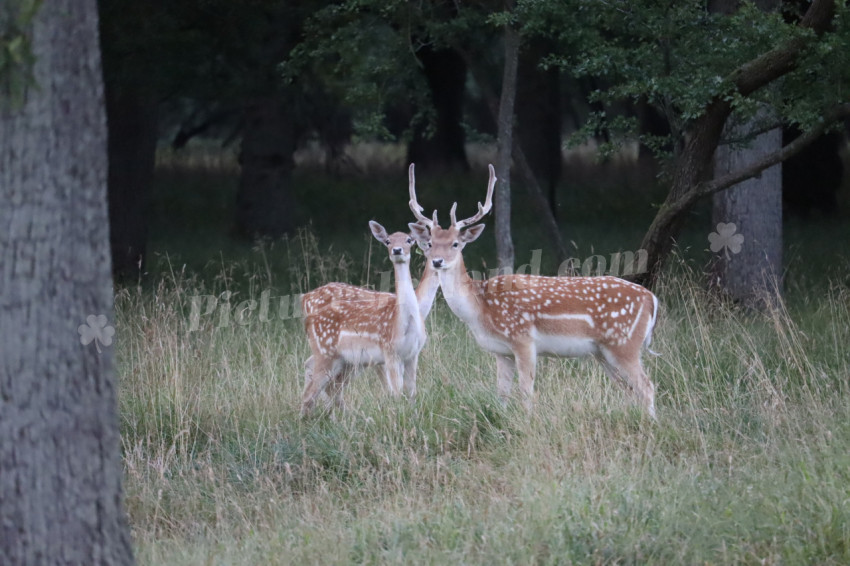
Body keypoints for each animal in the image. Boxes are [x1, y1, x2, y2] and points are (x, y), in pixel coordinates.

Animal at [300, 220, 430, 414]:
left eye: (409, 240)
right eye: (388, 241)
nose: (397, 250)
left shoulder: (413, 354)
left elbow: (412, 392)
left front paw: (413, 415)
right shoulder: (389, 351)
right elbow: (397, 392)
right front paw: (399, 416)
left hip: (342, 360)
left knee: (327, 388)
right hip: (325, 353)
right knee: (310, 393)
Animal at [408, 163, 660, 418]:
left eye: (456, 243)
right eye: (430, 243)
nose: (437, 261)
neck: (479, 310)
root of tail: (651, 299)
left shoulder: (523, 340)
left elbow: (526, 394)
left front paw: (529, 421)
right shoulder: (502, 352)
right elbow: (502, 395)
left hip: (624, 343)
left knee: (647, 386)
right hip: (603, 352)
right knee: (631, 391)